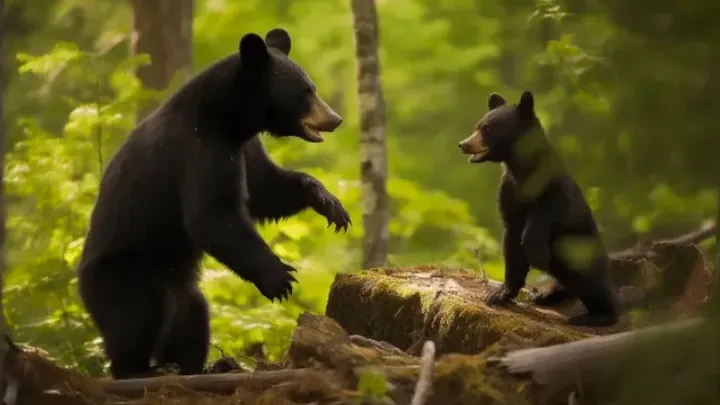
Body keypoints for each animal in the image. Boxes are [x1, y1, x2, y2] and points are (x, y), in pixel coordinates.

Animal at [77, 28, 351, 380]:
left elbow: (265, 190)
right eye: (305, 91)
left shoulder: (244, 148)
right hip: (123, 271)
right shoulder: (200, 150)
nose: (335, 119)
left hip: (180, 287)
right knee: (136, 314)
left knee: (192, 317)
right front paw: (280, 277)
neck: (227, 120)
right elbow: (213, 216)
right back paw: (138, 369)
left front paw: (331, 205)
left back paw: (194, 364)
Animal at [457, 90, 618, 327]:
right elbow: (511, 242)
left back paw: (597, 315)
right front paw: (500, 294)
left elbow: (542, 219)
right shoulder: (509, 191)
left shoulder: (553, 191)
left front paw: (537, 253)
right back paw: (546, 295)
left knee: (591, 280)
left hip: (583, 250)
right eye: (478, 126)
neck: (522, 172)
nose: (463, 144)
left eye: (486, 128)